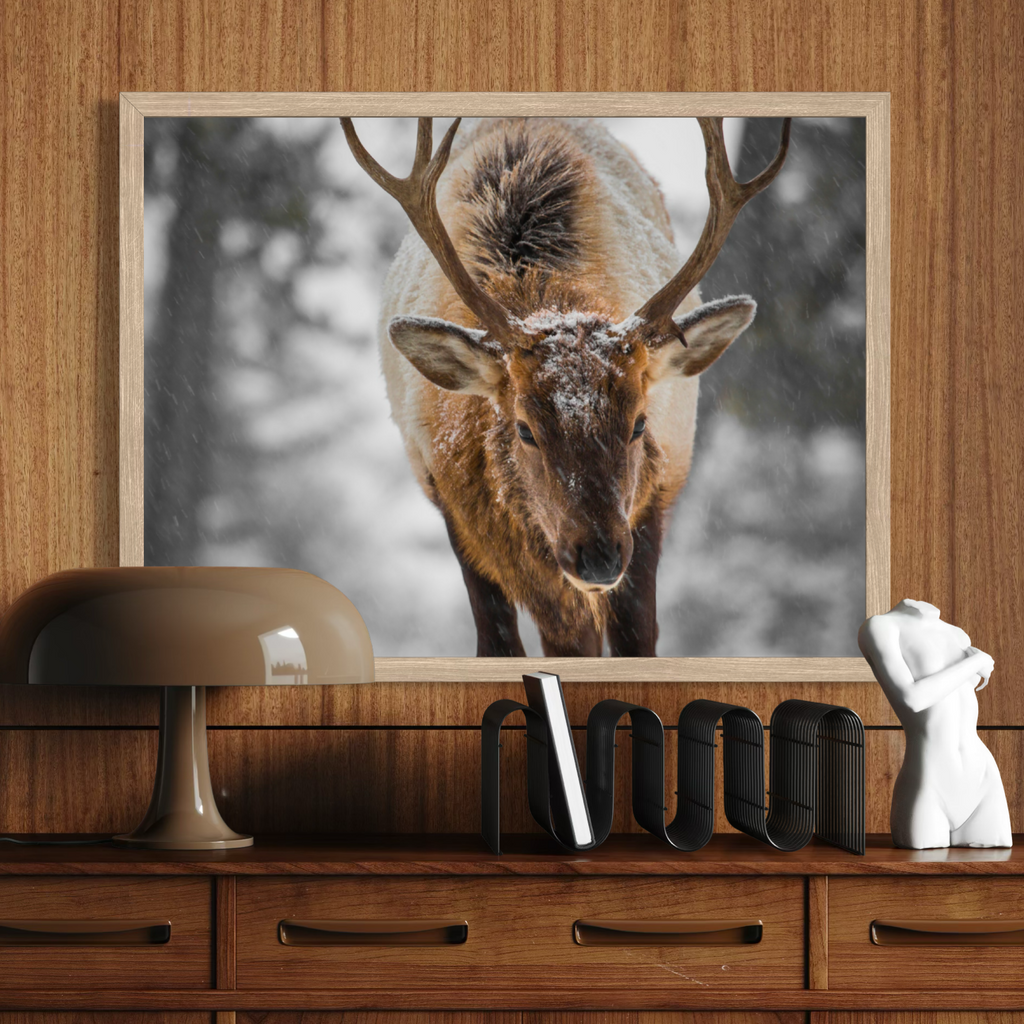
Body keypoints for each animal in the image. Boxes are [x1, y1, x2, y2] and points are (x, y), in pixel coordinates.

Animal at [340, 115, 791, 657]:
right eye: (524, 428)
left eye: (639, 423)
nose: (597, 557)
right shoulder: (459, 514)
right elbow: (501, 643)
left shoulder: (649, 506)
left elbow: (636, 642)